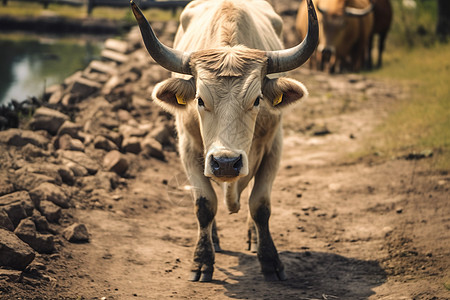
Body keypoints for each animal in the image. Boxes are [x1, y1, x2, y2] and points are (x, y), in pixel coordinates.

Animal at [130, 0, 320, 282]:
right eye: (199, 99)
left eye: (257, 99)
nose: (227, 163)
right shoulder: (188, 148)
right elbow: (204, 205)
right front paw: (201, 260)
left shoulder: (275, 146)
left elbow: (260, 205)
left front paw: (270, 261)